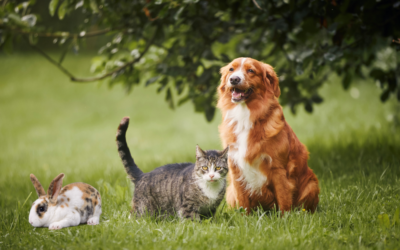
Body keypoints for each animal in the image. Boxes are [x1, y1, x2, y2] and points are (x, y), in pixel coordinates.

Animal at [217, 57, 320, 214]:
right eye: (231, 69)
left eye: (251, 70)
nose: (234, 79)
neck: (245, 116)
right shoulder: (235, 167)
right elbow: (242, 202)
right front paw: (244, 218)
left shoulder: (278, 168)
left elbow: (283, 199)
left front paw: (285, 218)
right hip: (230, 192)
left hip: (311, 184)